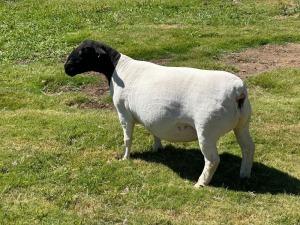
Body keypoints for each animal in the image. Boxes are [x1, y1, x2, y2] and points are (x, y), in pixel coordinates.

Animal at [64, 39, 254, 187]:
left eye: (84, 51)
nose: (67, 68)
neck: (118, 68)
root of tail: (238, 91)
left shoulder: (123, 113)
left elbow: (127, 139)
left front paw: (125, 158)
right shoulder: (152, 116)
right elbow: (154, 131)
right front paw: (157, 148)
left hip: (206, 129)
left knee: (213, 160)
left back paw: (201, 183)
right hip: (242, 124)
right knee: (248, 148)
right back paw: (244, 175)